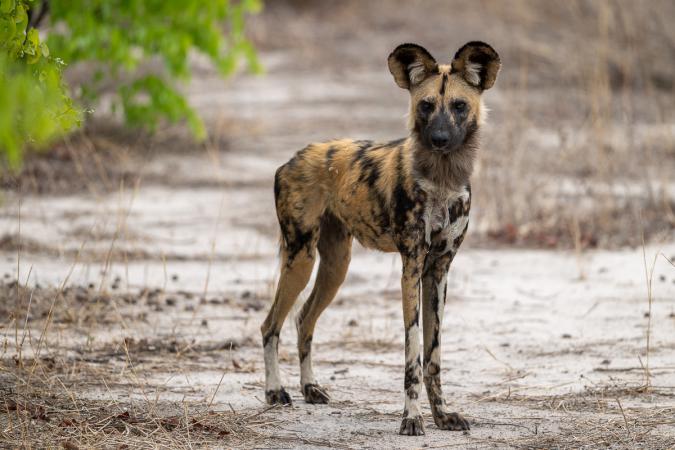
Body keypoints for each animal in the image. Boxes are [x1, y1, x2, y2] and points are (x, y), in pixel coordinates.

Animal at [261, 41, 500, 435]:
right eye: (426, 105)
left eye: (459, 106)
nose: (439, 139)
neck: (442, 180)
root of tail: (293, 158)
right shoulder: (412, 267)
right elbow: (413, 355)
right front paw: (412, 419)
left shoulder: (438, 271)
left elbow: (433, 356)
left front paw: (442, 415)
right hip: (301, 258)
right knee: (271, 324)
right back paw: (274, 391)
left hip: (336, 267)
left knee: (304, 319)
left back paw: (310, 388)